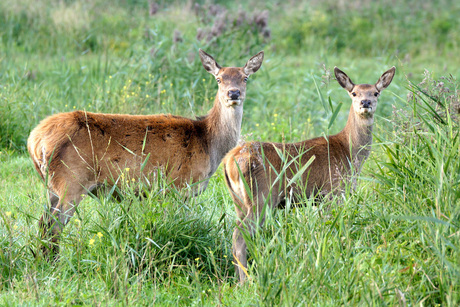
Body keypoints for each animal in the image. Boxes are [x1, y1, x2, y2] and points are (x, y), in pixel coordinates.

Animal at [28, 49, 262, 256]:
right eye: (219, 79)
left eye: (245, 78)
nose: (233, 93)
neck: (207, 143)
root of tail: (34, 141)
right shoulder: (178, 185)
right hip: (71, 182)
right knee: (53, 225)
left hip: (51, 186)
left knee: (42, 222)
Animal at [223, 66, 396, 282]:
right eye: (354, 93)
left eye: (376, 92)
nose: (366, 103)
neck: (349, 152)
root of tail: (230, 160)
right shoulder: (334, 191)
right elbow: (333, 228)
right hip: (262, 196)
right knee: (239, 236)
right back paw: (247, 281)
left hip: (239, 200)